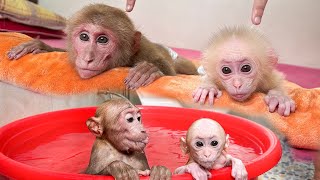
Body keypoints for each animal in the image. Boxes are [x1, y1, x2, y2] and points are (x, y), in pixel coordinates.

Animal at [6, 3, 198, 89]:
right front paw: (41, 46)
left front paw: (149, 70)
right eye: (84, 37)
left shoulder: (144, 51)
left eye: (103, 40)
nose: (87, 58)